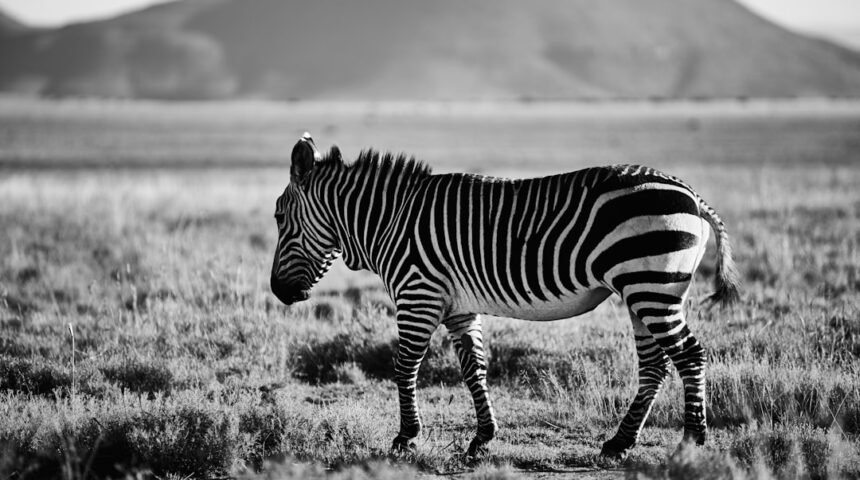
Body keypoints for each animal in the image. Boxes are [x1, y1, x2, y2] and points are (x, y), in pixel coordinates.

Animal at [271, 132, 740, 459]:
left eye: (278, 217)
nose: (278, 291)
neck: (390, 222)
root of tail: (691, 193)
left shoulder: (418, 294)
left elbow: (404, 366)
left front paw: (406, 437)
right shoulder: (457, 307)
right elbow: (473, 369)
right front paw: (482, 438)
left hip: (650, 286)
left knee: (690, 356)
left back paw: (691, 441)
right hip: (646, 291)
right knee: (655, 365)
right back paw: (619, 443)